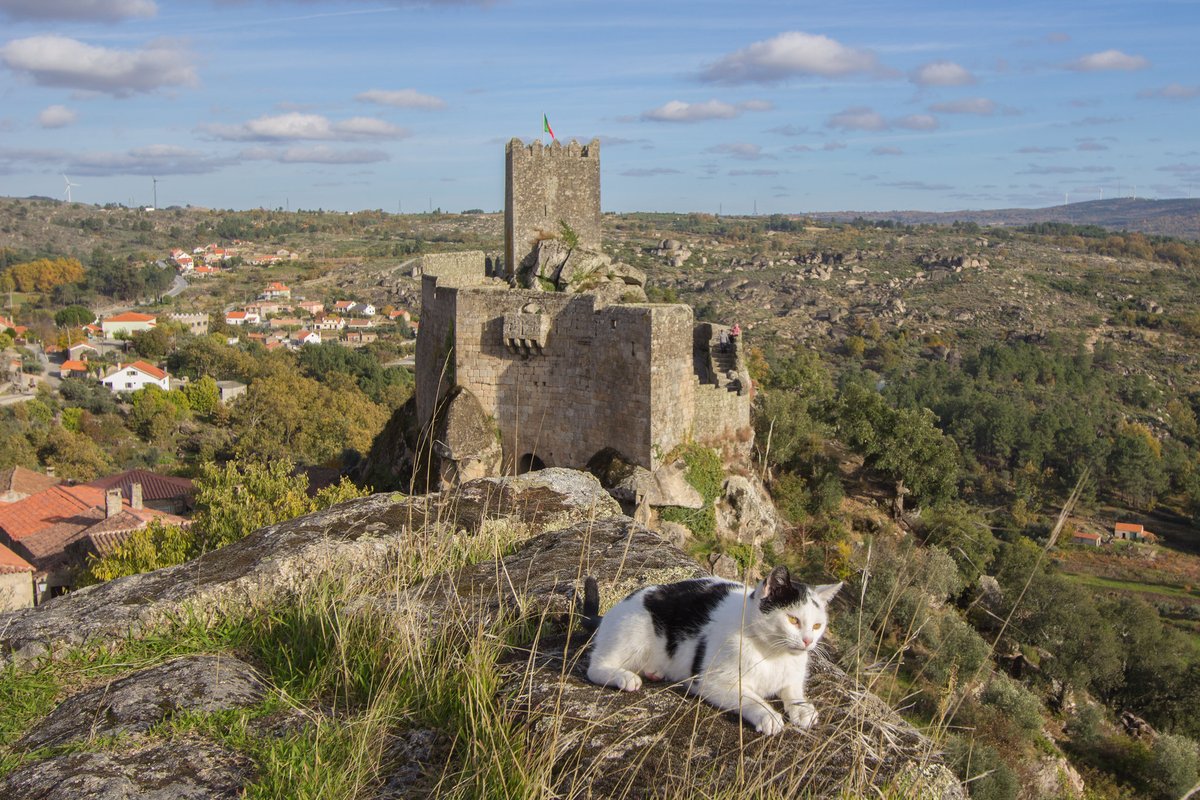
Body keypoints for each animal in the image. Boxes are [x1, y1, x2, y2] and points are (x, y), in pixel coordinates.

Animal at [580, 566, 844, 734]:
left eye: (817, 625)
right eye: (793, 620)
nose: (808, 641)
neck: (772, 653)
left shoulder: (791, 678)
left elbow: (793, 692)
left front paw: (802, 709)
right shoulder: (712, 681)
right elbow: (749, 698)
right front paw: (768, 715)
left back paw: (655, 672)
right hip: (634, 630)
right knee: (595, 667)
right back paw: (624, 677)